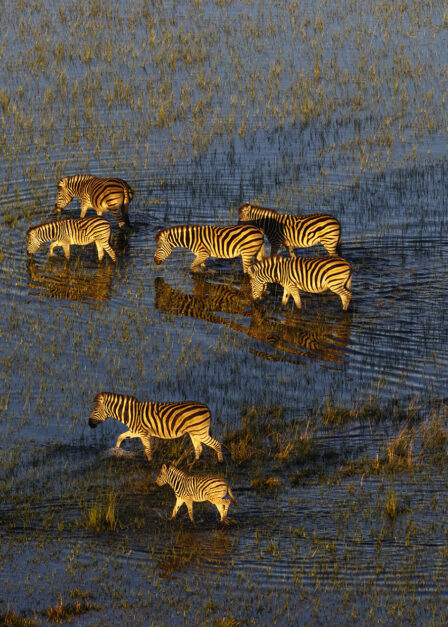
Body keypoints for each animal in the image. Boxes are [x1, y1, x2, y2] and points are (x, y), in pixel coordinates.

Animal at [88, 394, 223, 464]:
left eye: (95, 410)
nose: (89, 424)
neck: (131, 414)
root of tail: (206, 407)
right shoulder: (135, 431)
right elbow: (120, 437)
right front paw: (116, 452)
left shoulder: (143, 433)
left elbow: (147, 450)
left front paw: (149, 462)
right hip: (195, 433)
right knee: (199, 449)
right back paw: (192, 464)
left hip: (200, 432)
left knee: (216, 444)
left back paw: (220, 462)